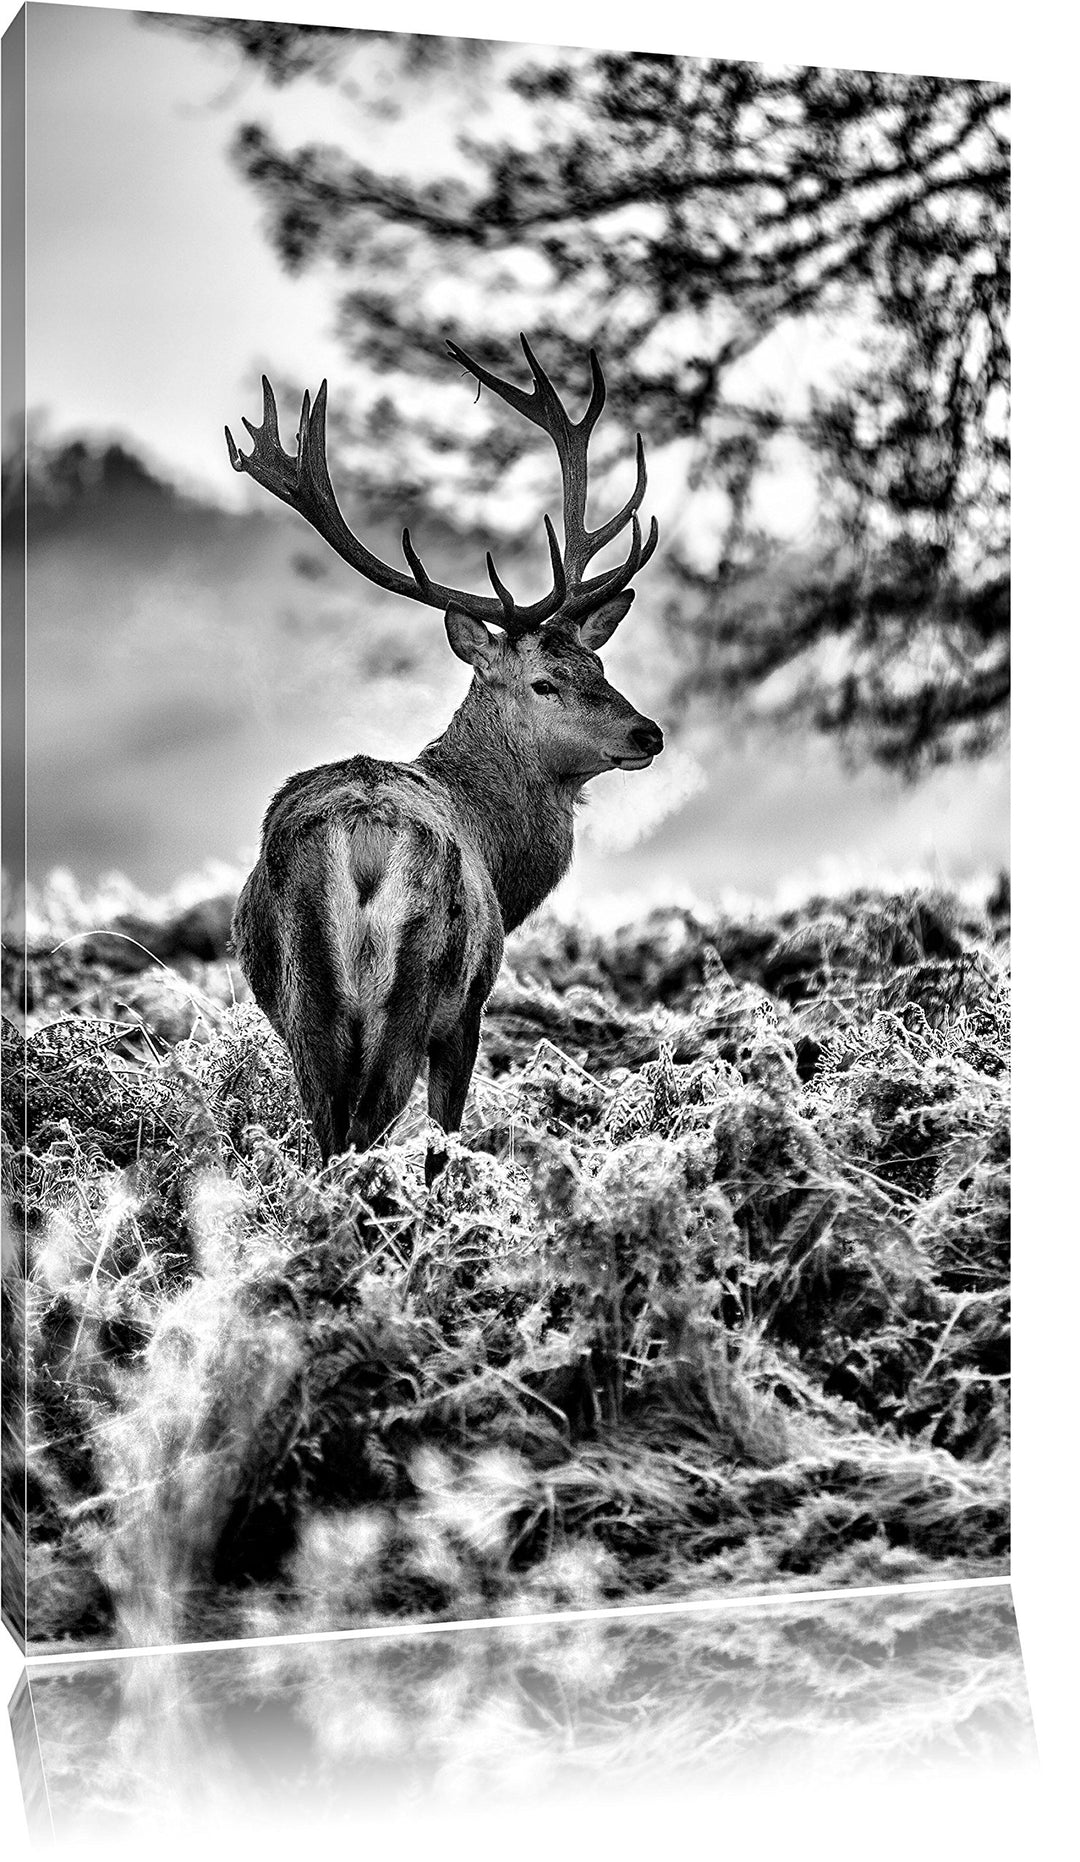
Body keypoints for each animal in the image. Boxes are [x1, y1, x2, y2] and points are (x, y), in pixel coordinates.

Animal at [225, 335, 663, 1184]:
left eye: (599, 665)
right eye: (545, 681)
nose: (648, 734)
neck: (499, 851)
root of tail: (363, 836)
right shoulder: (473, 1004)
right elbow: (444, 1131)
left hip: (306, 997)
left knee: (327, 1131)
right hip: (419, 985)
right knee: (368, 1128)